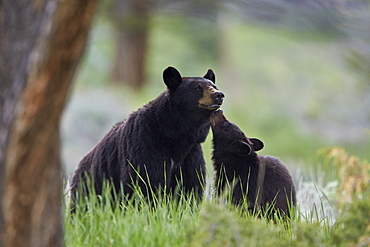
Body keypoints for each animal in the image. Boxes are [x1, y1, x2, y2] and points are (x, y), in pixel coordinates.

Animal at [70, 65, 224, 208]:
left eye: (214, 86)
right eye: (197, 88)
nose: (219, 95)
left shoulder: (191, 153)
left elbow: (189, 185)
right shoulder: (146, 144)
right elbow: (147, 181)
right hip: (90, 186)